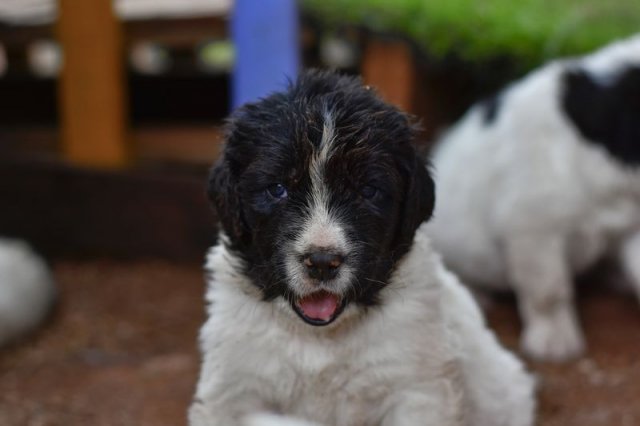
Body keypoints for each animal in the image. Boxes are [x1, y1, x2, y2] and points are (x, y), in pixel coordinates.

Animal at [189, 70, 535, 426]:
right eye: (278, 189)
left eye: (367, 192)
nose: (323, 261)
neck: (321, 338)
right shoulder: (229, 390)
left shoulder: (419, 390)